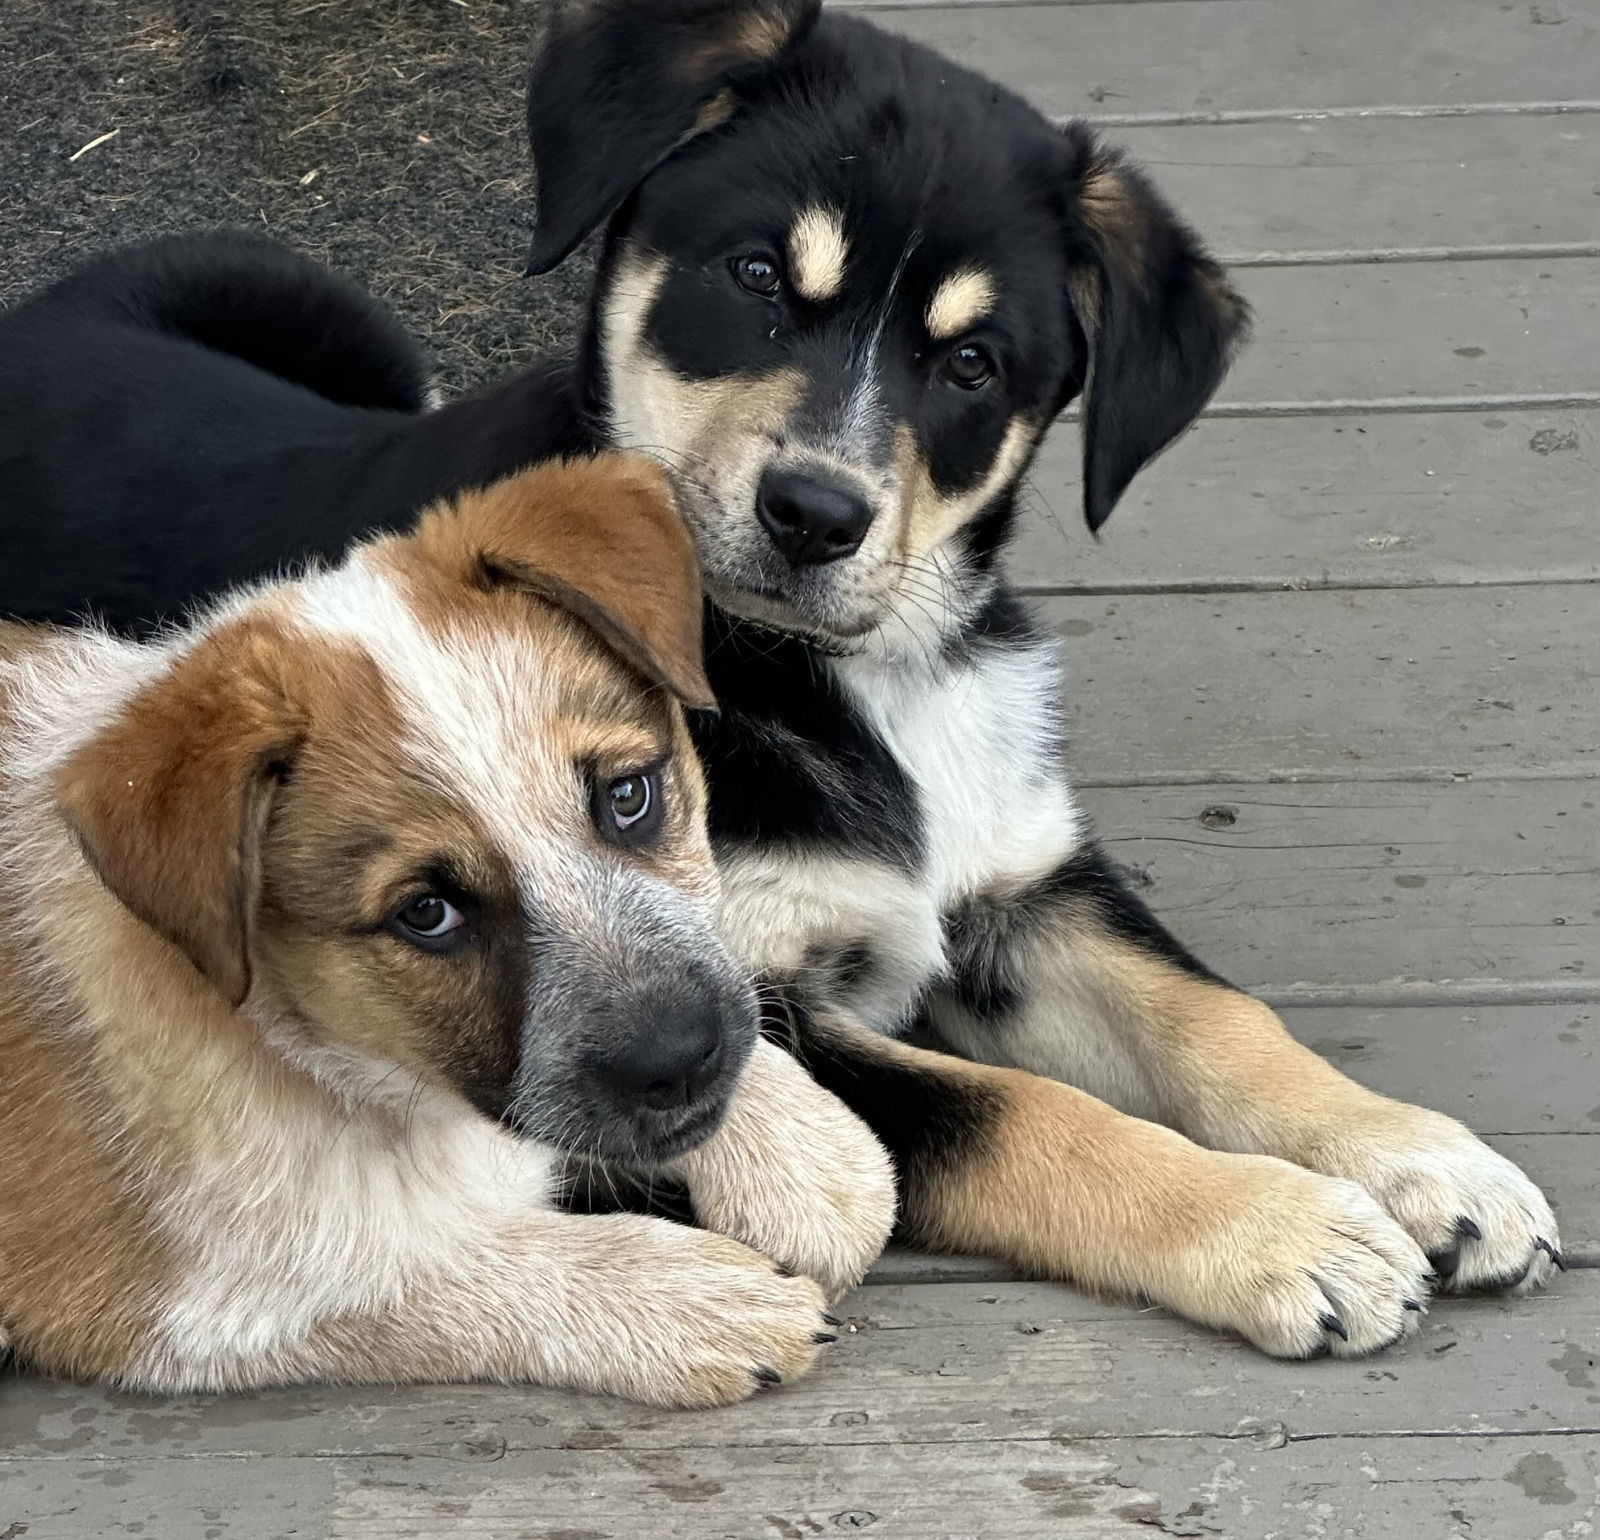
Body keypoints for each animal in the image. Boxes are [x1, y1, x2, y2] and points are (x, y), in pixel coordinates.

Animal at [0, 454, 889, 1402]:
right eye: (426, 913)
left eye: (628, 796)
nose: (684, 1062)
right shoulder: (172, 1300)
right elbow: (440, 1267)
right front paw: (690, 1299)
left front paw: (809, 1160)